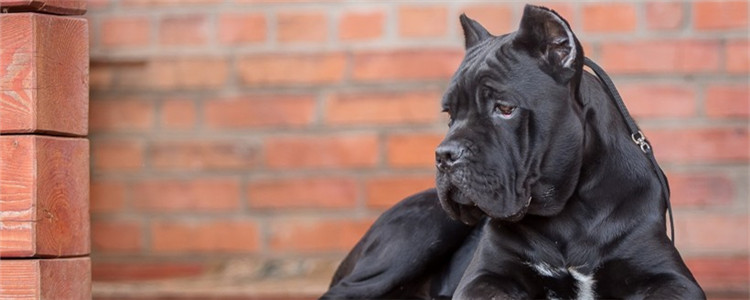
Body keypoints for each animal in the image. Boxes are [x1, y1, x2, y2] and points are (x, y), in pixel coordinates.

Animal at [322, 4, 704, 300]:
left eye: (504, 108)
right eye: (450, 114)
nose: (444, 155)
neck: (569, 212)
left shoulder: (671, 277)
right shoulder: (484, 276)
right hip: (424, 227)